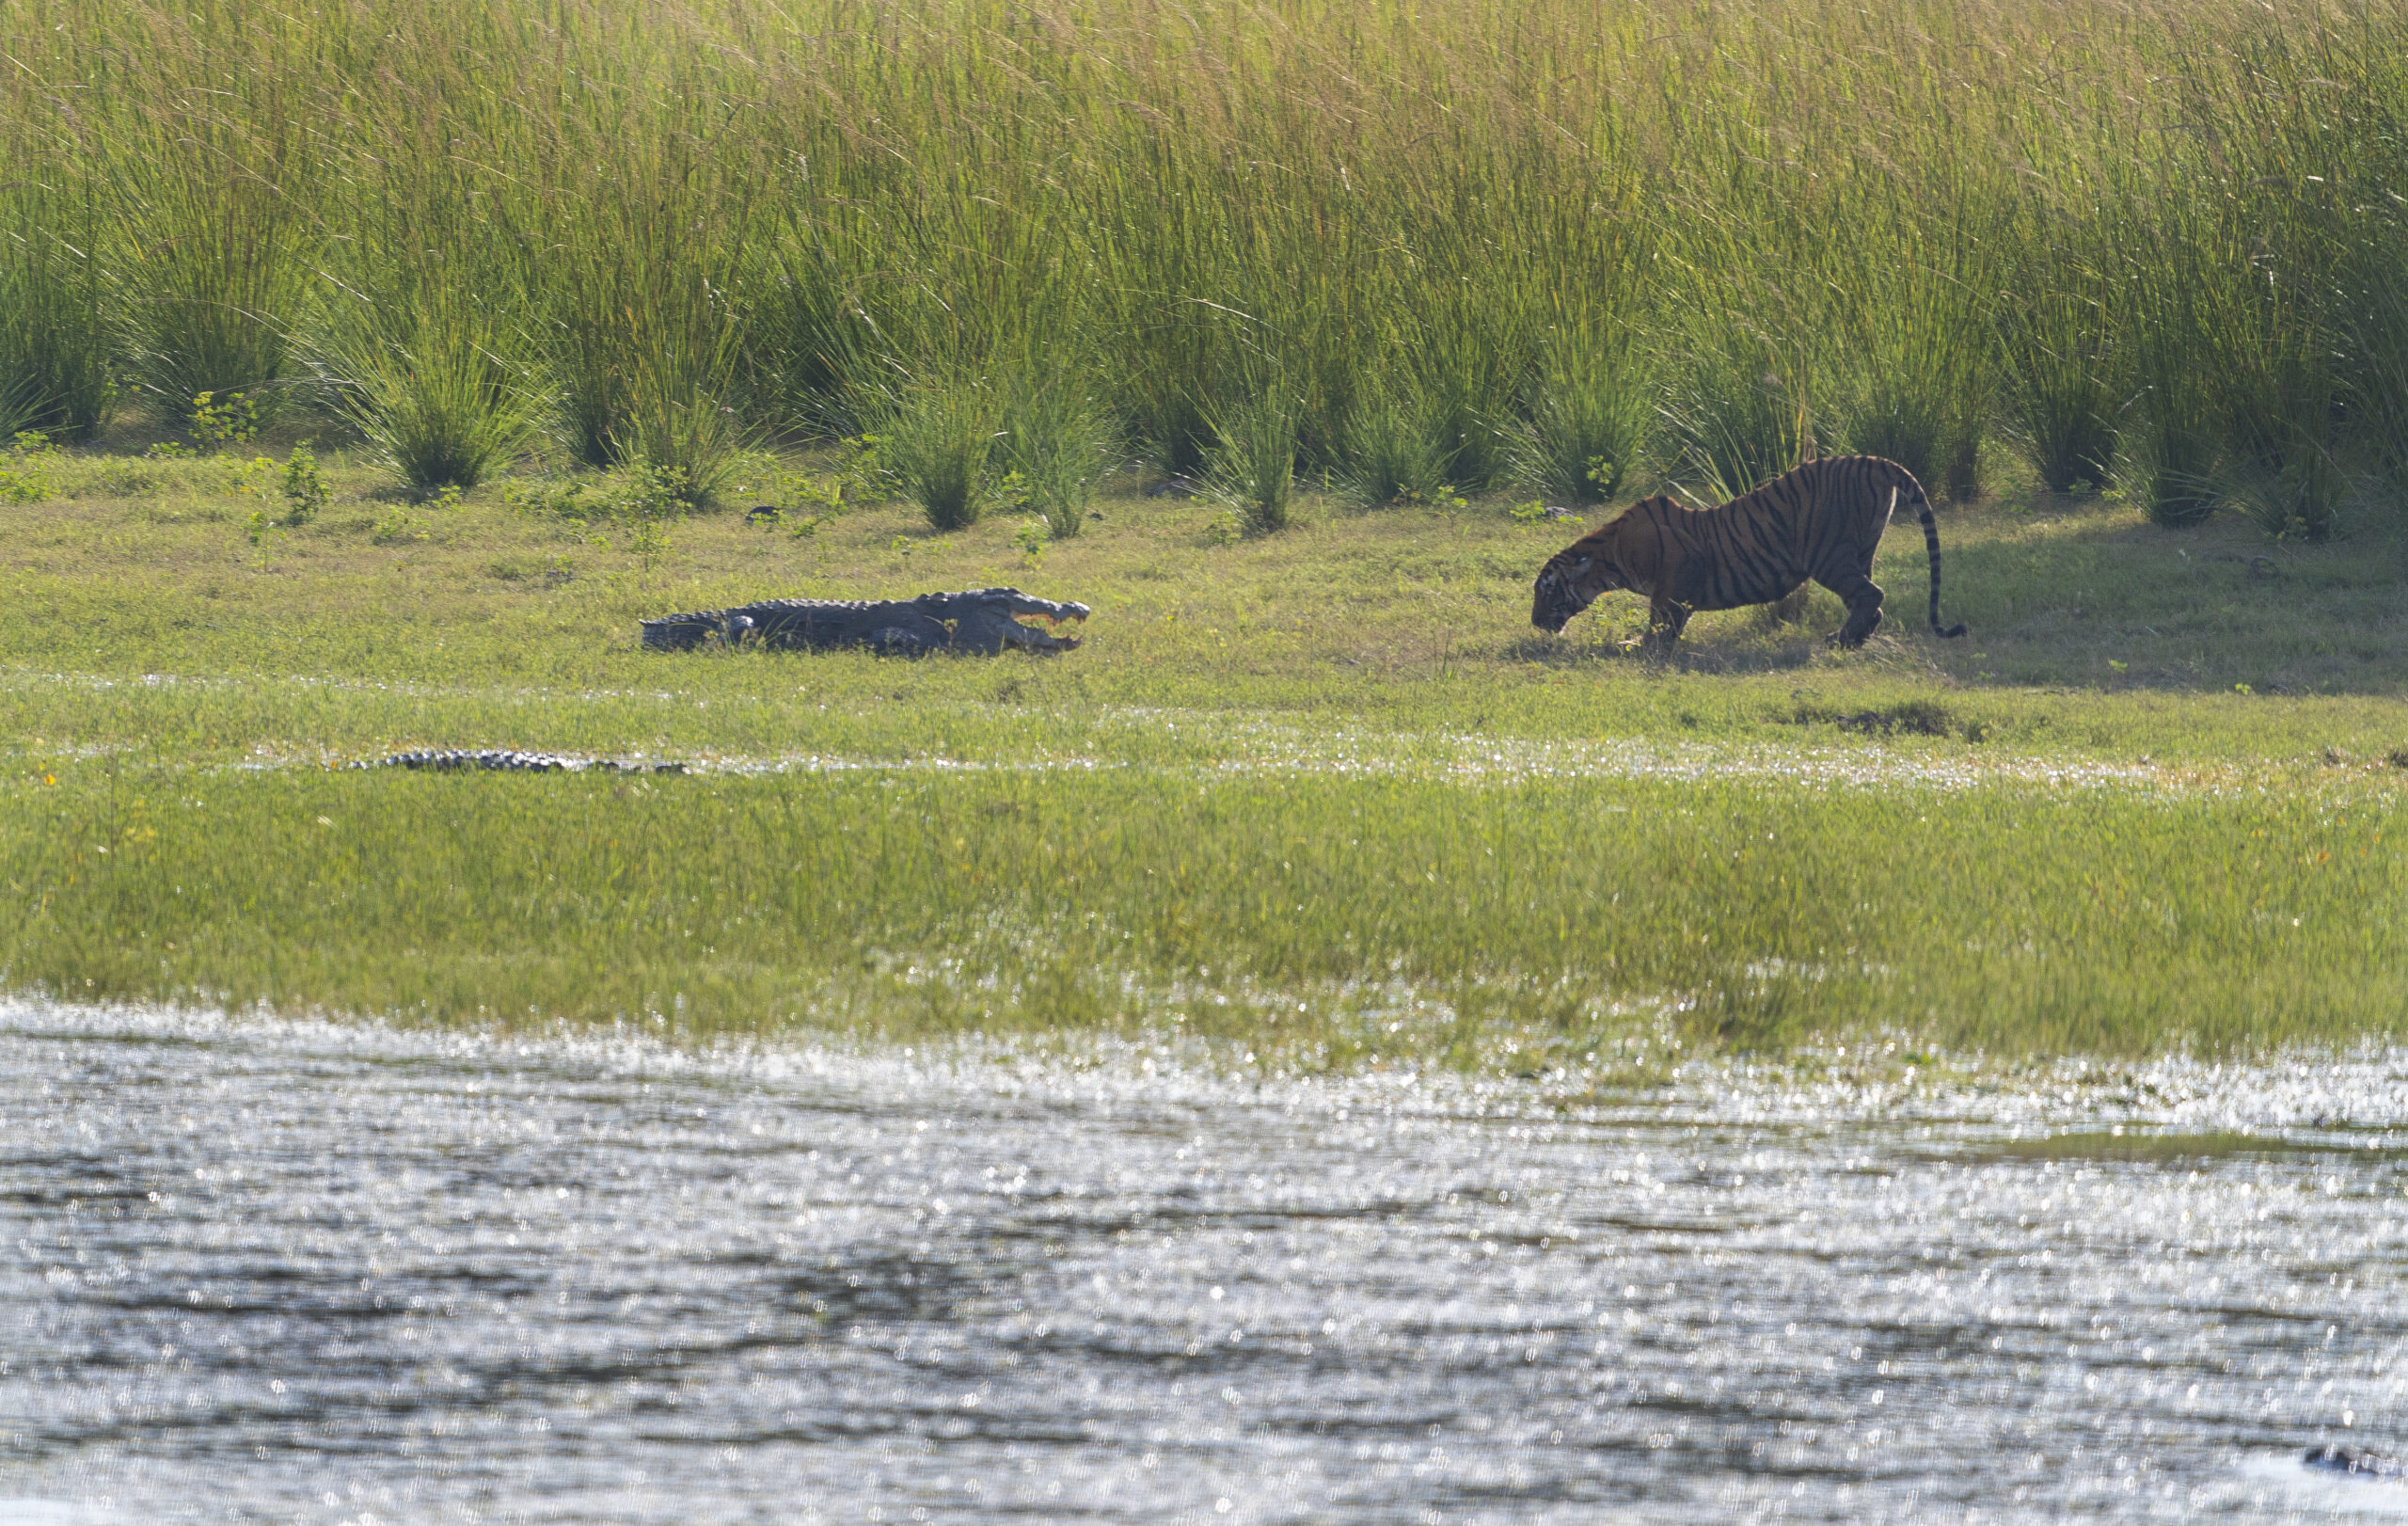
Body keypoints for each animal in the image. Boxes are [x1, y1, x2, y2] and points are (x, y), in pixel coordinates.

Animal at [1530, 455, 1968, 652]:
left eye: (1546, 591)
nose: (1534, 622)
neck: (1610, 556)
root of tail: (1871, 461)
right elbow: (1673, 617)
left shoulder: (1676, 572)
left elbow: (1660, 617)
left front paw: (1639, 645)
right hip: (1863, 550)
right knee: (1871, 600)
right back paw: (1852, 639)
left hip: (1827, 556)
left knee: (1872, 594)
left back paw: (1838, 641)